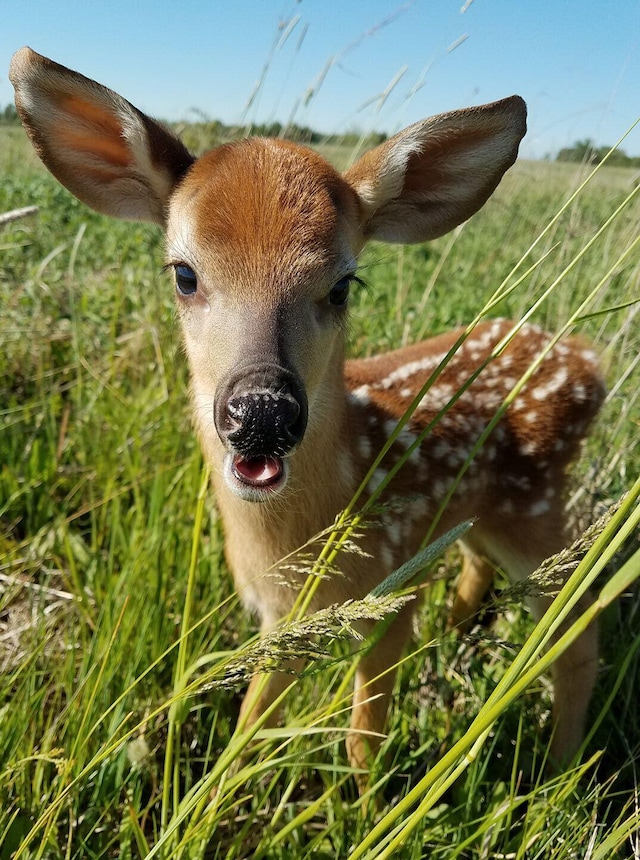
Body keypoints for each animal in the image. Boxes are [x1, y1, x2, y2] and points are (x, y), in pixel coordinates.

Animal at [11, 50, 604, 784]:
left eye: (344, 284)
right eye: (184, 273)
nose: (262, 413)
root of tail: (589, 361)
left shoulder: (387, 596)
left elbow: (361, 741)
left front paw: (367, 801)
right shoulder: (282, 618)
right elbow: (248, 724)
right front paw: (218, 793)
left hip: (537, 510)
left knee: (580, 629)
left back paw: (561, 765)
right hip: (484, 513)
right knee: (482, 568)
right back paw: (458, 639)